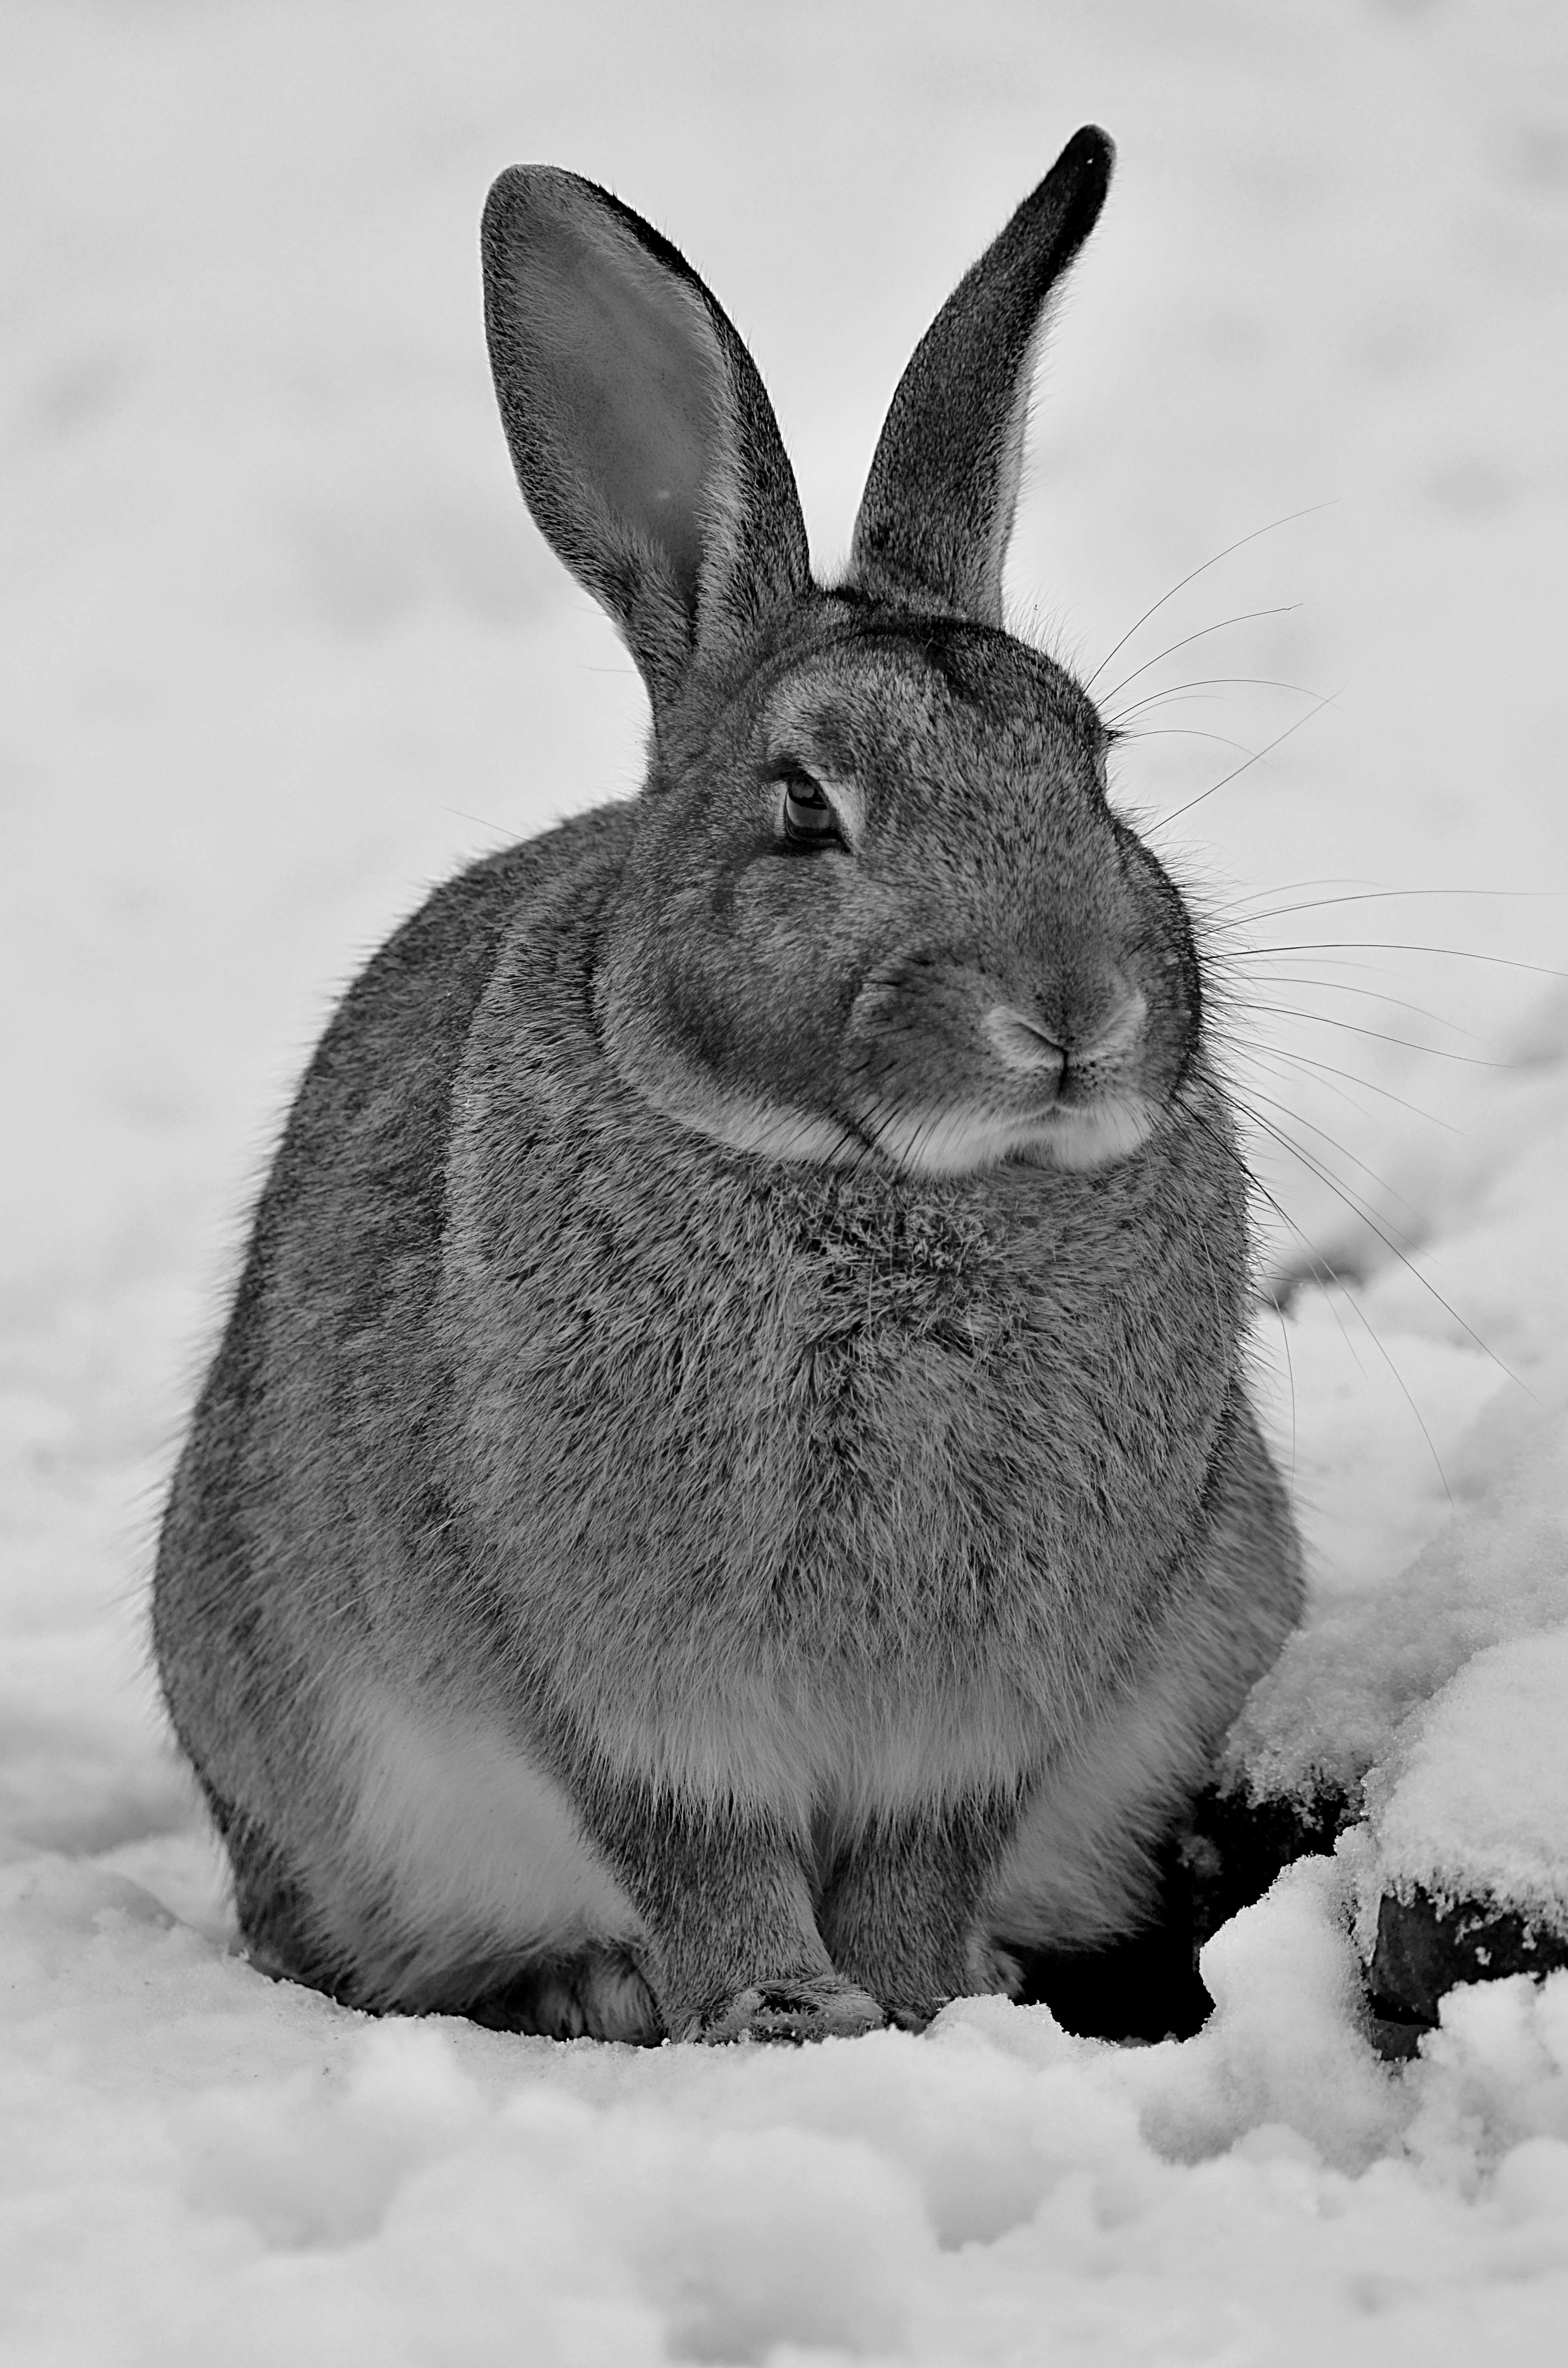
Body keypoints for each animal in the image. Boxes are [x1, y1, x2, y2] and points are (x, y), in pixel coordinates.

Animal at [154, 129, 1307, 2045]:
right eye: (802, 807)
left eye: (1092, 766)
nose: (1073, 1006)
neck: (888, 1184)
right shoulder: (612, 1682)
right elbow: (694, 1846)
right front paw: (780, 2012)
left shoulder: (999, 1705)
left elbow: (923, 1856)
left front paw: (928, 2004)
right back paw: (589, 1987)